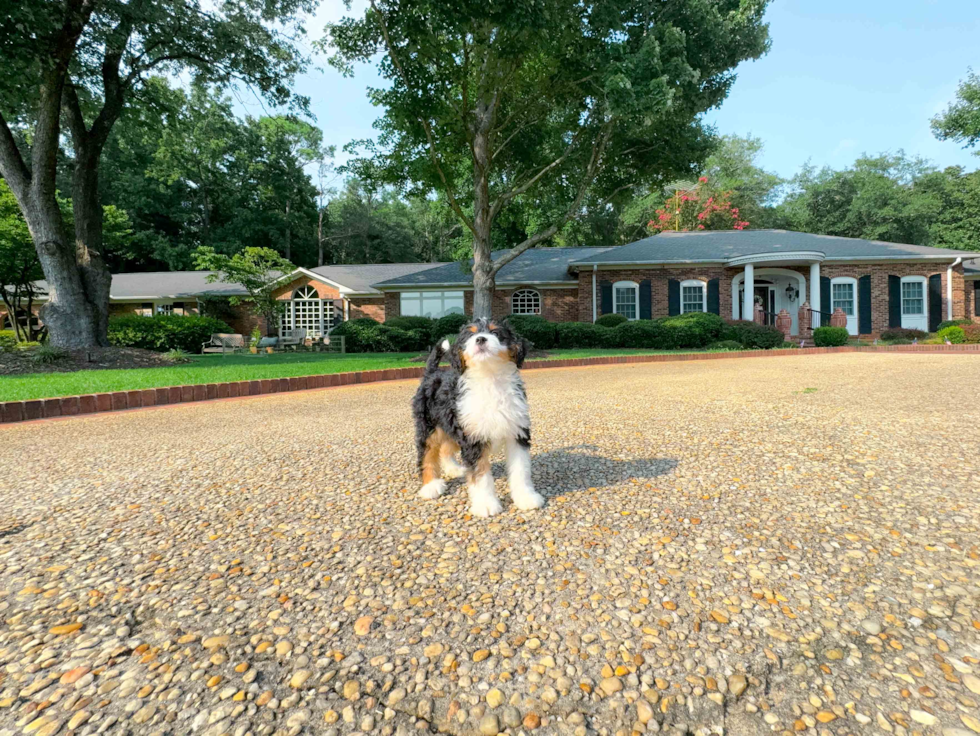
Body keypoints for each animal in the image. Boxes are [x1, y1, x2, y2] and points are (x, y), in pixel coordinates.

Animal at [412, 318, 548, 516]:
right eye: (471, 334)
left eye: (496, 332)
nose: (481, 339)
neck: (490, 378)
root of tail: (432, 373)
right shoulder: (473, 439)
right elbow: (480, 474)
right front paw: (486, 504)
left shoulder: (517, 432)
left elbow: (521, 469)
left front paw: (526, 497)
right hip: (429, 426)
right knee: (427, 453)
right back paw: (431, 486)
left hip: (452, 424)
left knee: (445, 448)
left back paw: (453, 469)